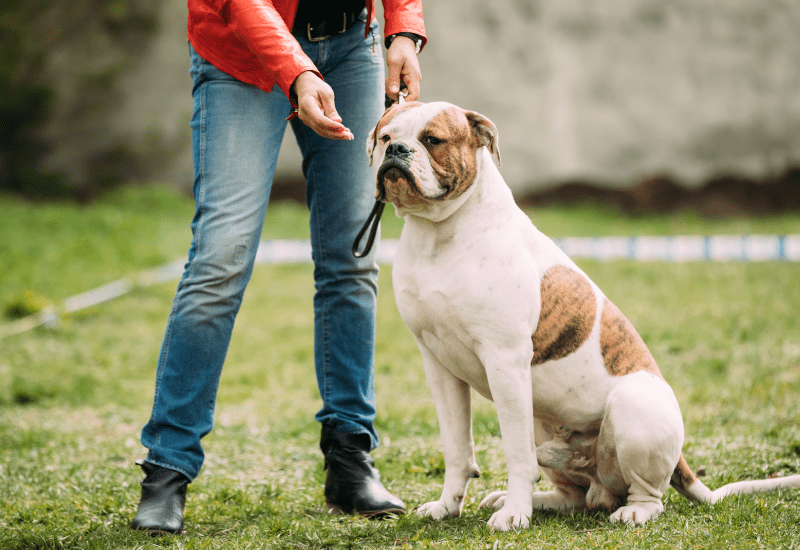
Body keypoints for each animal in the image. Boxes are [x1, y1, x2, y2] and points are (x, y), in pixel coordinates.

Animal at [366, 101, 800, 532]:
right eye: (385, 136)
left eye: (432, 140)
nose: (395, 151)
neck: (437, 234)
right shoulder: (439, 364)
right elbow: (457, 449)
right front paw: (446, 507)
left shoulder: (504, 360)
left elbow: (515, 454)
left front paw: (514, 515)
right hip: (547, 430)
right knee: (576, 495)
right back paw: (525, 499)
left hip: (631, 405)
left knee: (647, 495)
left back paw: (628, 511)